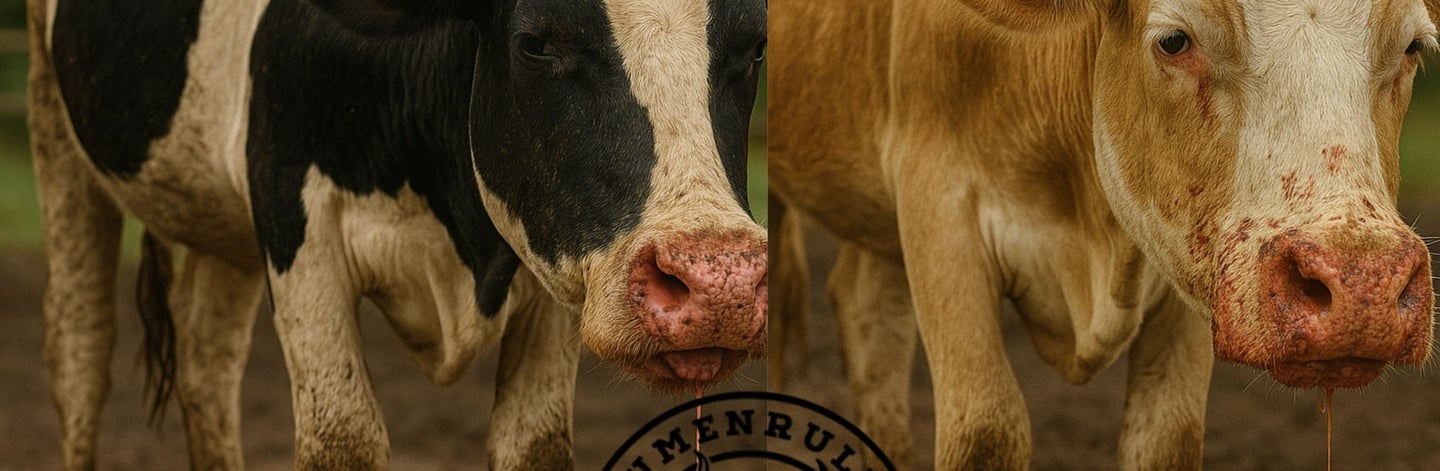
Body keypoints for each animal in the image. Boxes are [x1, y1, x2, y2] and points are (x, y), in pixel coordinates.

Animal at [28, 0, 767, 468]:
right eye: (535, 42)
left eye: (756, 46)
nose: (716, 281)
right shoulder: (295, 220)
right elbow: (342, 436)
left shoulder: (554, 251)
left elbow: (533, 440)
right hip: (57, 135)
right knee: (79, 355)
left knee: (206, 364)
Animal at [769, 0, 1439, 469]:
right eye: (1174, 40)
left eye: (1413, 46)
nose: (1362, 284)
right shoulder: (937, 200)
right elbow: (986, 427)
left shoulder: (1189, 255)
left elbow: (1167, 438)